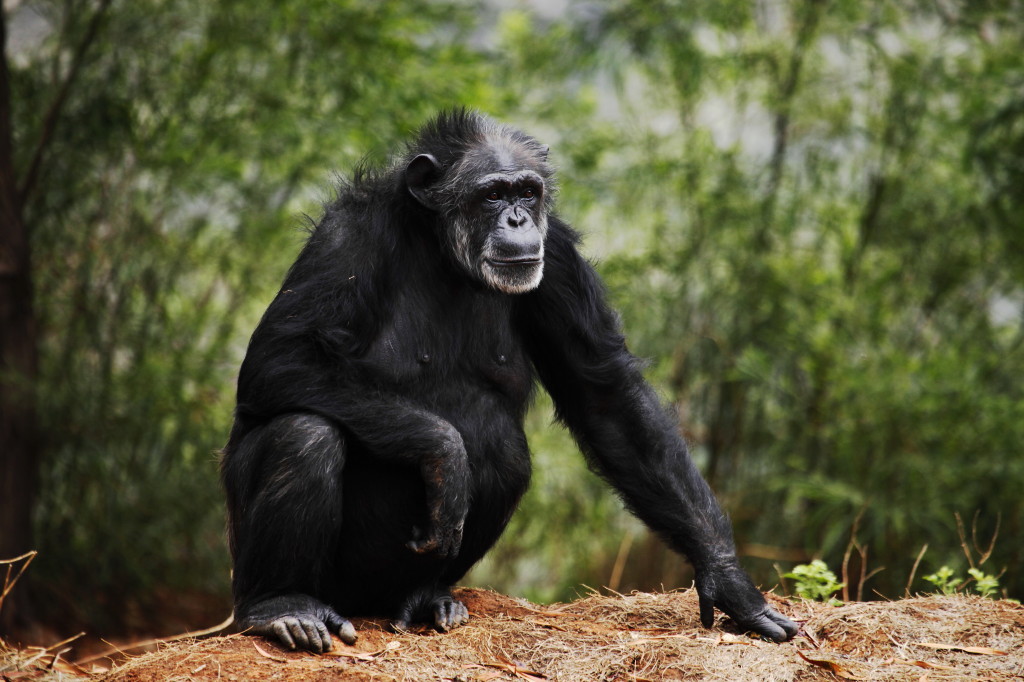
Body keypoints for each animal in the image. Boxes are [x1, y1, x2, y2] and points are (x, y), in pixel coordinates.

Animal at [222, 109, 798, 651]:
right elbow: (282, 357)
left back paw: (424, 596)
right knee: (304, 435)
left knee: (500, 445)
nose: (519, 219)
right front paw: (444, 454)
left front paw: (729, 582)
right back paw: (284, 606)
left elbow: (605, 394)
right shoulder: (346, 238)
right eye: (492, 194)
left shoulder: (558, 256)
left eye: (526, 191)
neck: (443, 250)